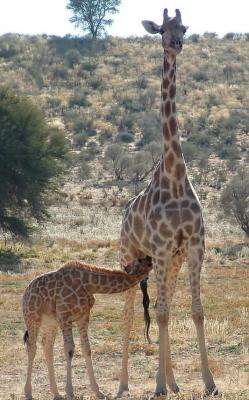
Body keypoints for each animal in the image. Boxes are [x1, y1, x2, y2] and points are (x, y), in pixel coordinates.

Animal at [22, 258, 152, 398]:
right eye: (144, 262)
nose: (127, 268)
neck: (88, 283)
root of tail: (26, 292)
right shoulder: (65, 315)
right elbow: (69, 349)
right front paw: (70, 392)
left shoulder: (83, 316)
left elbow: (86, 348)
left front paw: (98, 392)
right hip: (32, 317)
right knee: (32, 346)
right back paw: (28, 392)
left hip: (51, 322)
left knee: (47, 345)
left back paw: (56, 393)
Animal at [117, 8, 217, 396]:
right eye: (161, 29)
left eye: (184, 27)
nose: (176, 43)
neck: (175, 176)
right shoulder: (159, 249)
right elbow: (157, 314)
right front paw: (157, 384)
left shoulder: (192, 246)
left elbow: (194, 310)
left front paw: (209, 383)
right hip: (130, 258)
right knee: (131, 312)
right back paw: (124, 385)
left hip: (168, 262)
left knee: (164, 304)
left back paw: (174, 383)